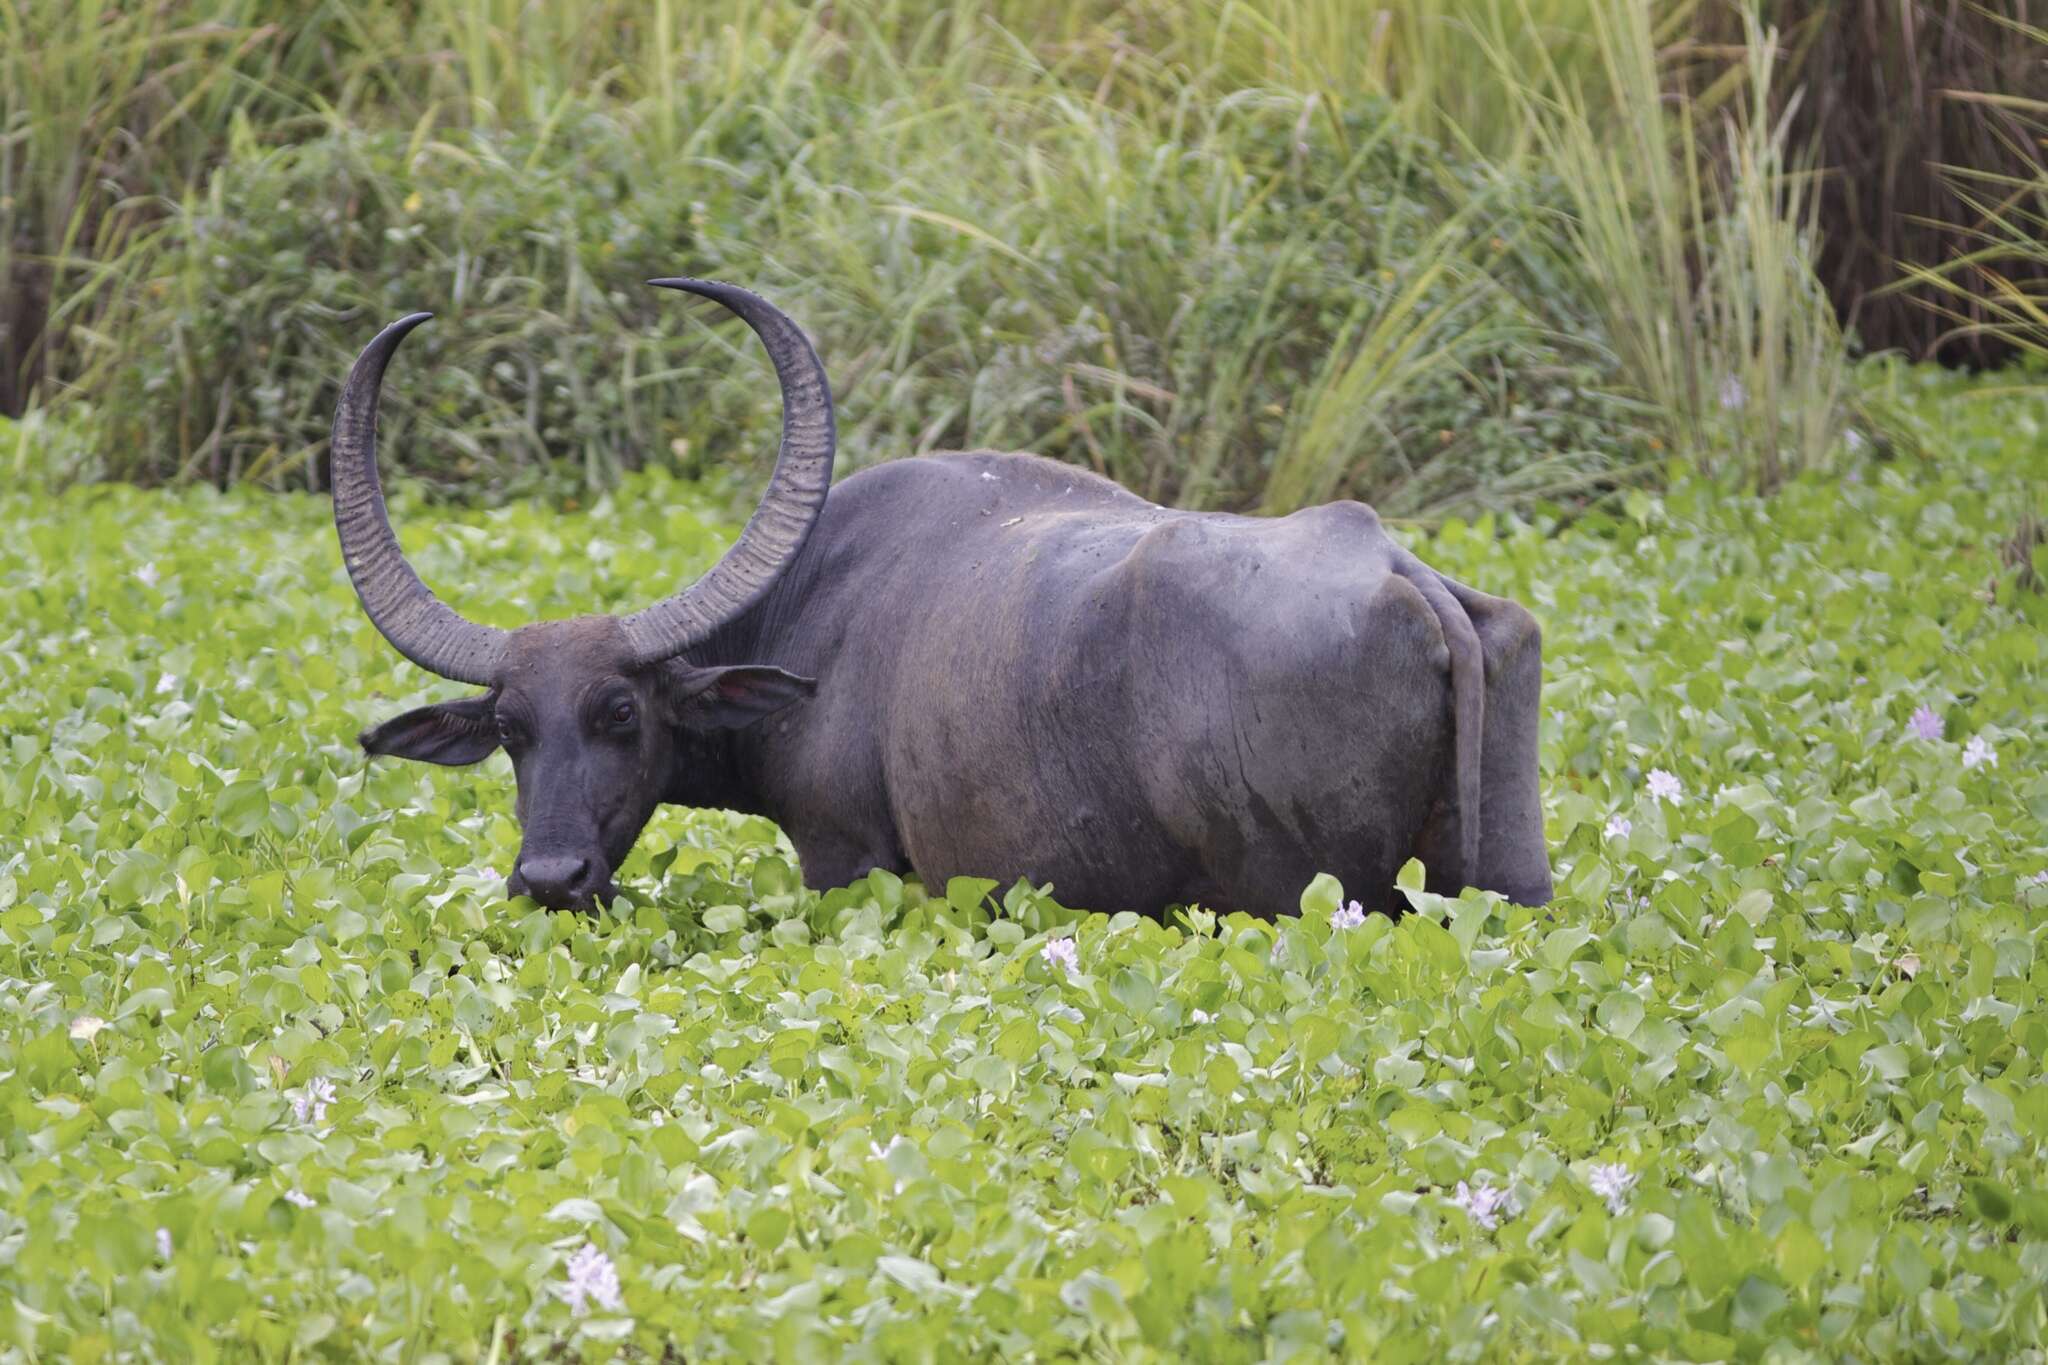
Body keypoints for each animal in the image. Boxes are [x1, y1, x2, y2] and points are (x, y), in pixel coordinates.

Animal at [335, 280, 1548, 916]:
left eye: (620, 712)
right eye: (508, 727)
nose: (549, 877)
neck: (811, 615)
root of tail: (1398, 572)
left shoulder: (846, 862)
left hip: (1300, 894)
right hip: (1499, 880)